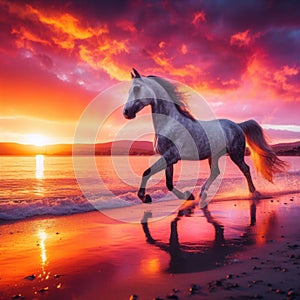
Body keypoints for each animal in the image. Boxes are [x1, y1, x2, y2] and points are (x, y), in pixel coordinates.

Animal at [123, 68, 288, 205]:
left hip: (236, 154)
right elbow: (168, 184)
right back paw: (202, 194)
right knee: (215, 172)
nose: (126, 112)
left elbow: (147, 172)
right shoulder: (169, 158)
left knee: (245, 169)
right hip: (214, 155)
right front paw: (188, 196)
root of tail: (237, 125)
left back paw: (253, 193)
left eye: (136, 88)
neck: (170, 123)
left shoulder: (171, 156)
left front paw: (145, 197)